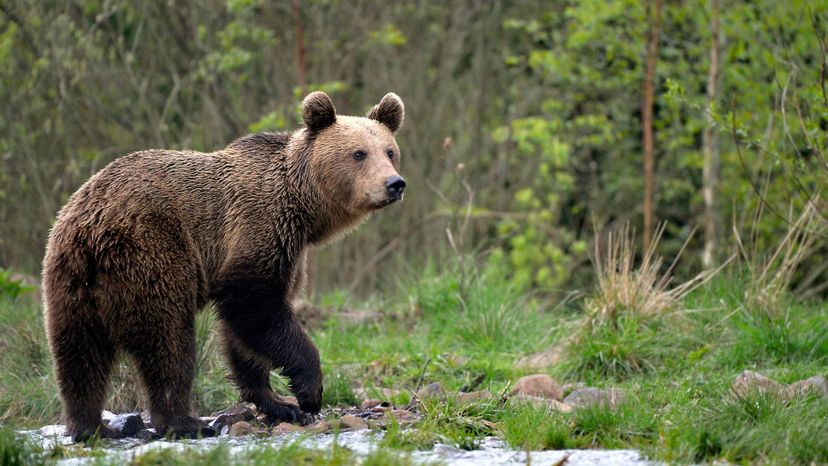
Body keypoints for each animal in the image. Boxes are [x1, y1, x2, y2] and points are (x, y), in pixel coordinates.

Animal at [40, 90, 406, 440]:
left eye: (389, 151)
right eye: (359, 153)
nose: (394, 184)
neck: (302, 207)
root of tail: (92, 227)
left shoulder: (288, 250)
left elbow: (244, 335)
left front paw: (278, 403)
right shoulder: (258, 230)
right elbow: (256, 307)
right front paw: (308, 393)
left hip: (70, 279)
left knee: (79, 355)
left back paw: (89, 426)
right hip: (151, 252)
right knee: (168, 341)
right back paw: (183, 421)